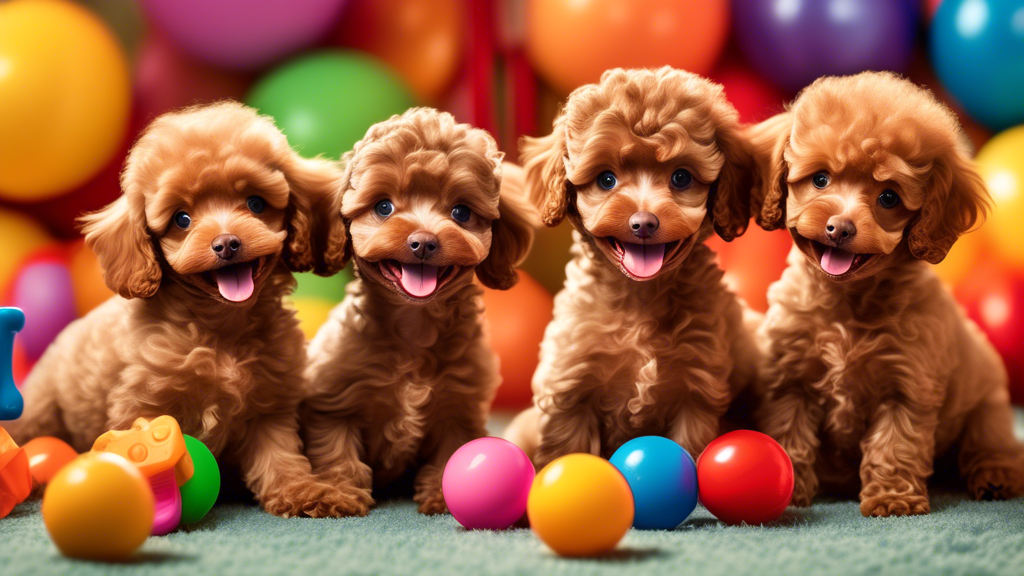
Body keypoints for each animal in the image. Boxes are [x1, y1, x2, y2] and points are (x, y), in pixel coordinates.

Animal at [7, 99, 356, 516]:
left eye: (255, 203)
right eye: (182, 219)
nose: (227, 243)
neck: (222, 327)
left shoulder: (270, 405)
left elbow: (280, 456)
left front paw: (303, 492)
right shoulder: (144, 402)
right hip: (42, 407)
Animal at [301, 107, 536, 516]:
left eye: (461, 212)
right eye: (383, 207)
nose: (423, 242)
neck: (414, 324)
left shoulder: (459, 404)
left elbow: (451, 450)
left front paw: (442, 494)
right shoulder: (334, 400)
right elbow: (336, 449)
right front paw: (338, 491)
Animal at [499, 66, 765, 467]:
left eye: (681, 177)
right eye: (606, 179)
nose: (643, 222)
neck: (640, 296)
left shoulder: (696, 389)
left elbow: (691, 447)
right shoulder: (571, 386)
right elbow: (567, 448)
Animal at [745, 71, 1024, 516]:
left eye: (888, 197)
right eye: (820, 178)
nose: (839, 228)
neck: (846, 299)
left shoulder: (905, 386)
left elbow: (895, 444)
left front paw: (893, 499)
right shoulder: (791, 379)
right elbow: (789, 433)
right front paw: (792, 491)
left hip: (986, 409)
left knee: (991, 445)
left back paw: (996, 477)